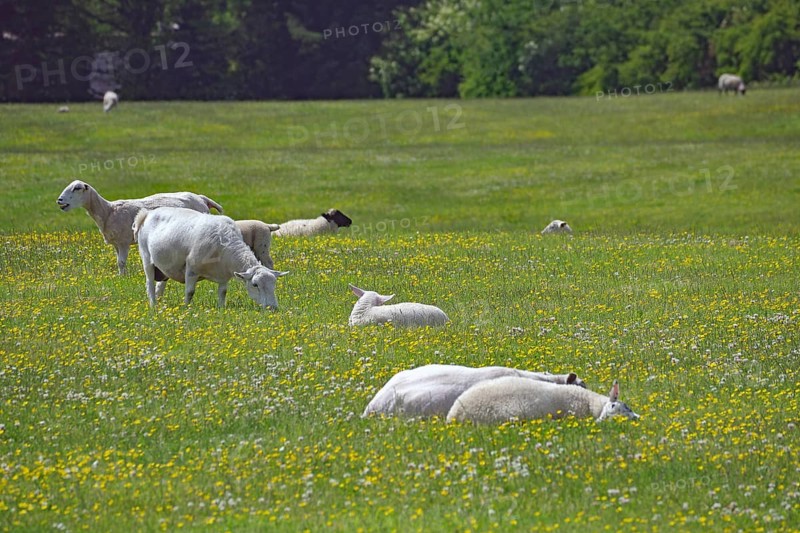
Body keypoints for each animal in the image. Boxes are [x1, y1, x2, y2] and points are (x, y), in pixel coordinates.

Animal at [57, 179, 224, 275]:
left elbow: (121, 262)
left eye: (77, 188)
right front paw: (122, 276)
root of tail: (201, 198)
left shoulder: (124, 242)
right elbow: (118, 262)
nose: (59, 200)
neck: (108, 211)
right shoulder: (116, 243)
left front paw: (122, 278)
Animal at [133, 207, 288, 308]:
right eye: (255, 285)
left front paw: (221, 309)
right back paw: (153, 306)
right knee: (150, 284)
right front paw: (186, 308)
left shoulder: (224, 275)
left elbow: (223, 292)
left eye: (274, 284)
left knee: (160, 285)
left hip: (164, 267)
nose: (273, 308)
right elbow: (190, 292)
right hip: (146, 258)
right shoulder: (191, 269)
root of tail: (147, 213)